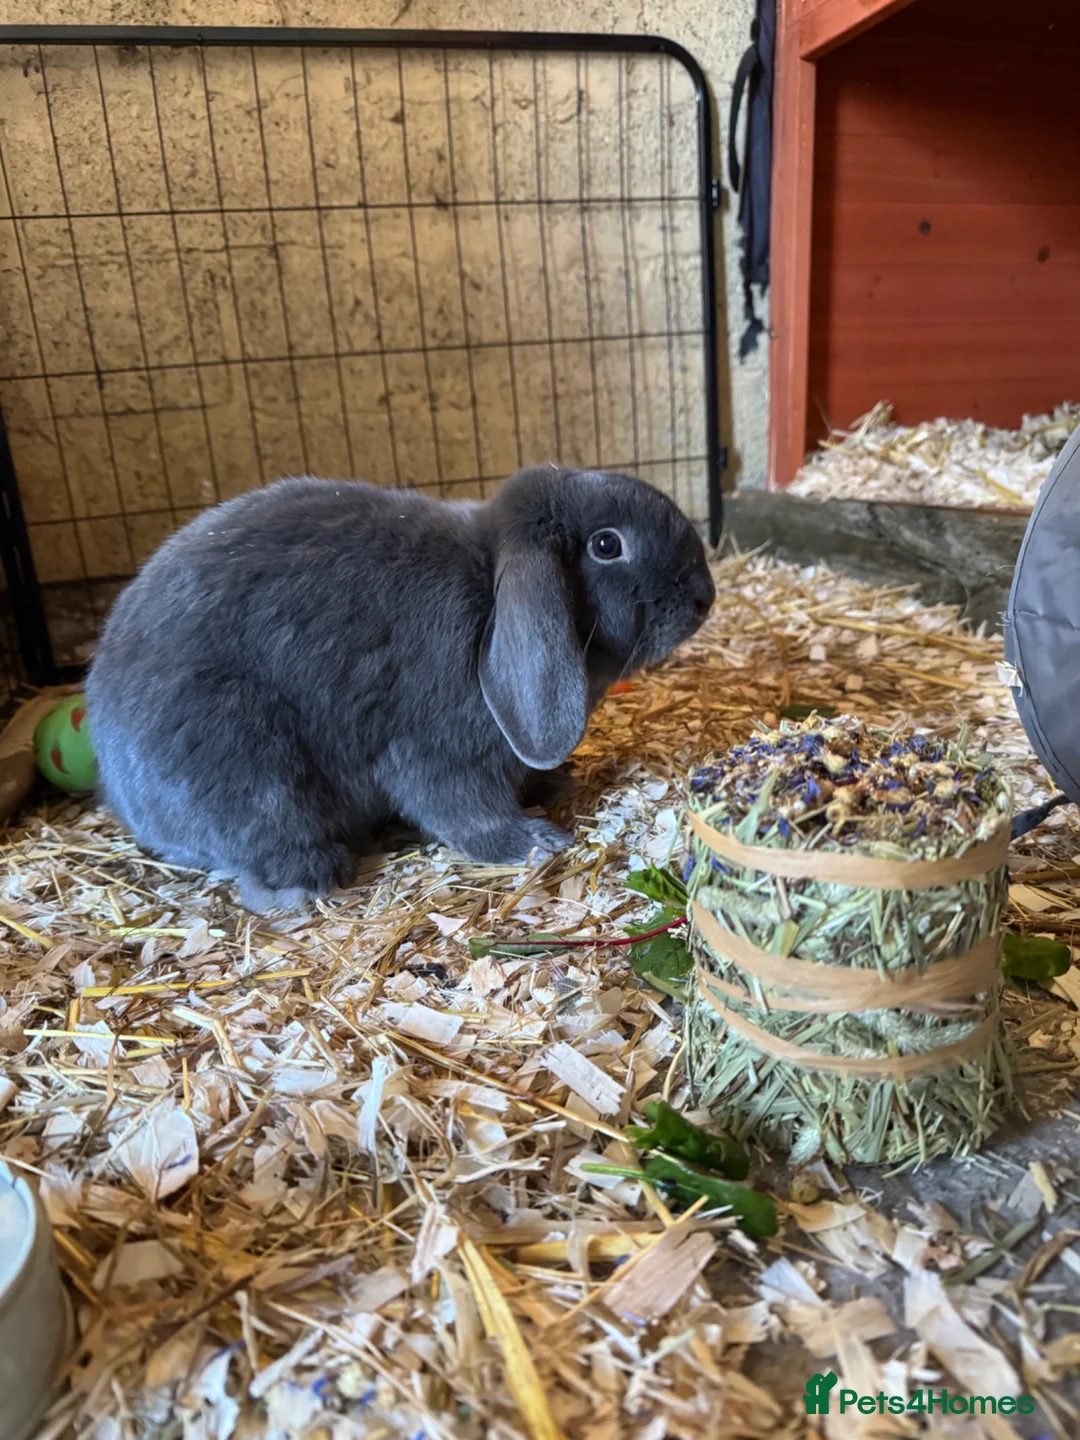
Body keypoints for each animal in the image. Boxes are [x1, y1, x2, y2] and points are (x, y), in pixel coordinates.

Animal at [86, 465, 715, 912]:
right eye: (607, 545)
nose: (703, 597)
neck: (490, 591)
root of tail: (124, 801)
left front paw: (555, 784)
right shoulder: (437, 753)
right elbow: (465, 812)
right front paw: (537, 840)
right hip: (249, 767)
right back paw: (305, 887)